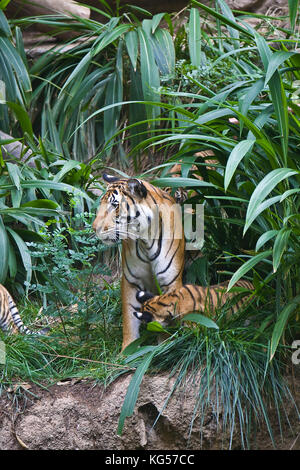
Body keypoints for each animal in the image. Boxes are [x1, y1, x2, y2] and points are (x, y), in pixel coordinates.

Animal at [92, 174, 185, 350]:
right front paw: (127, 350)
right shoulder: (131, 281)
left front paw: (163, 345)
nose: (94, 228)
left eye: (114, 205)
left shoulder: (170, 281)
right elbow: (129, 320)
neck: (145, 240)